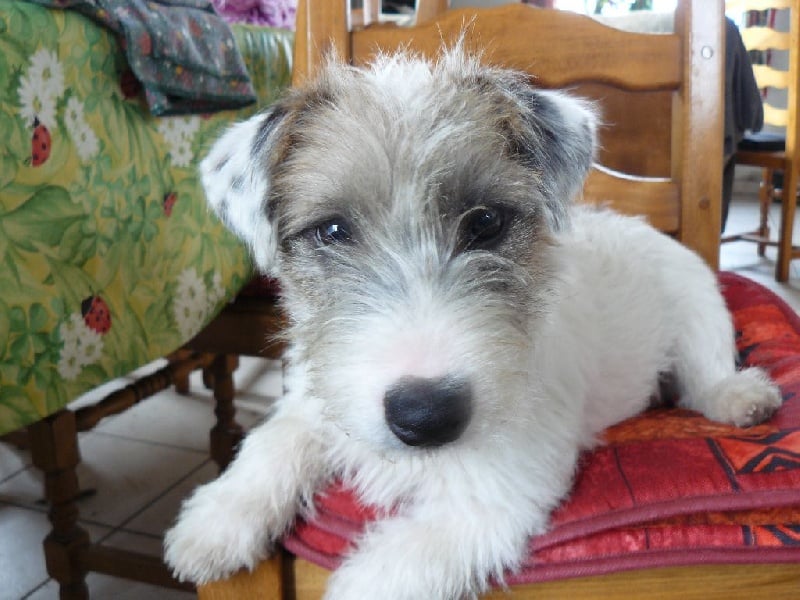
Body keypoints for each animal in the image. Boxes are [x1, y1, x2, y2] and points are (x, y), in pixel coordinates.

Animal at [164, 48, 783, 599]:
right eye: (333, 231)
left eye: (485, 222)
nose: (426, 415)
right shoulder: (317, 402)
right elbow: (272, 442)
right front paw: (216, 519)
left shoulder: (494, 497)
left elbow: (393, 570)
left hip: (699, 311)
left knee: (706, 374)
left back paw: (740, 397)